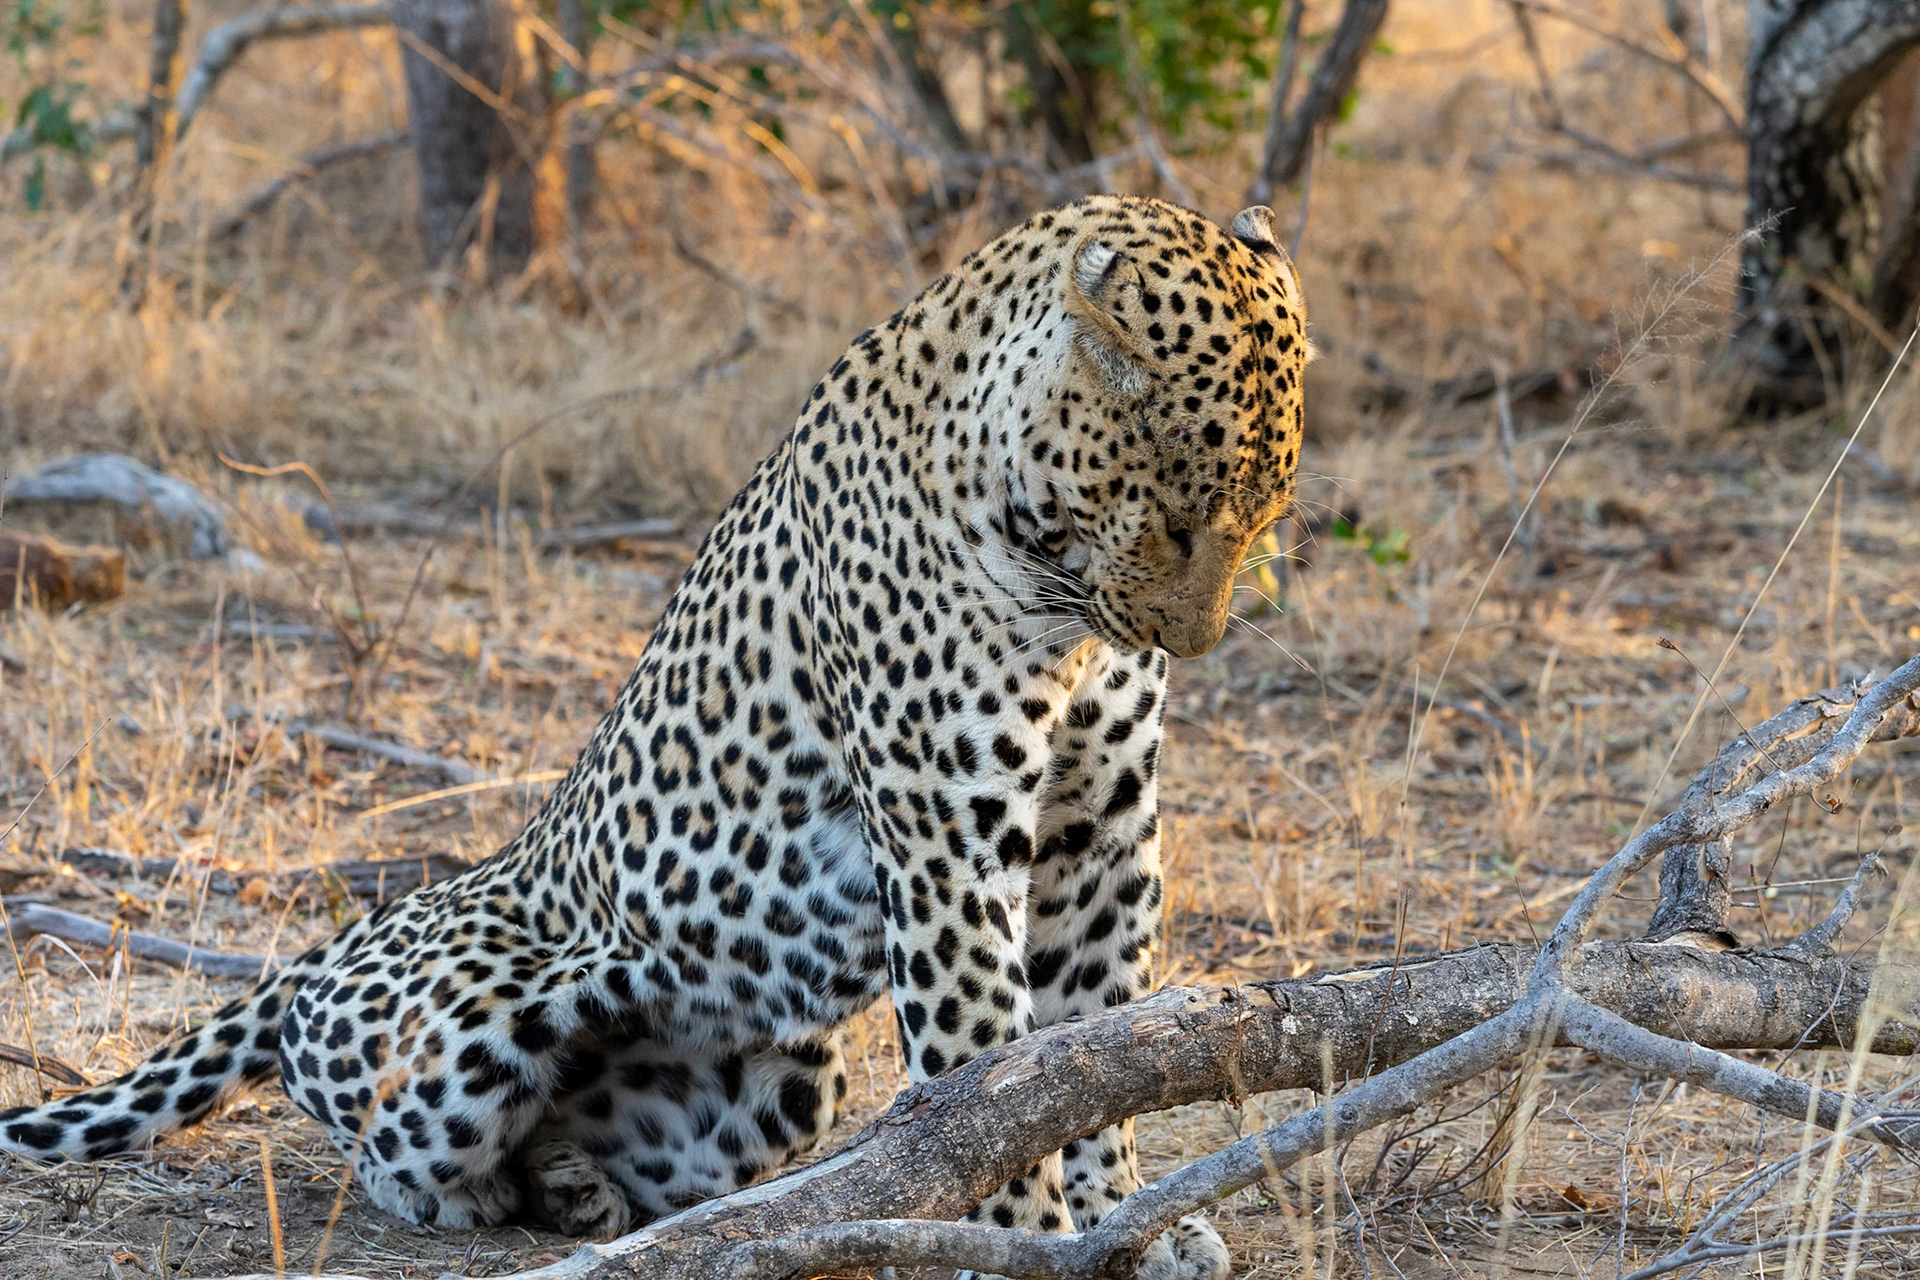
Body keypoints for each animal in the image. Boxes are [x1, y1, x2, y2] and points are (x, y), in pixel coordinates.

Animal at [0, 194, 1308, 1276]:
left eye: (1263, 523)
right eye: (1181, 519)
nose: (1192, 641)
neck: (1056, 586)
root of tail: (332, 942)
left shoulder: (1098, 832)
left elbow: (1092, 1043)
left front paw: (1131, 1222)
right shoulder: (949, 832)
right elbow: (987, 1069)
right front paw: (1032, 1238)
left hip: (793, 1081)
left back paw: (576, 1182)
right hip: (460, 1040)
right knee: (386, 1144)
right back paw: (478, 1196)